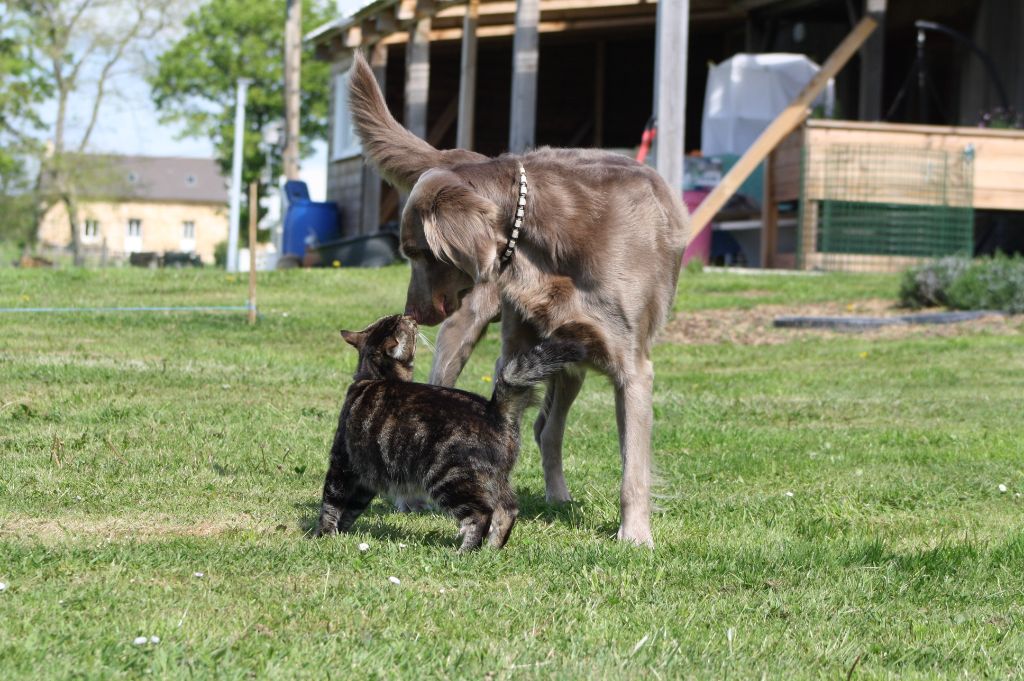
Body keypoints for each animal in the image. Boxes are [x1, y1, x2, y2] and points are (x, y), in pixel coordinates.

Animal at [311, 315, 585, 548]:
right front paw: (340, 533)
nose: (412, 317)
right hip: (494, 479)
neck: (376, 376)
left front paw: (323, 535)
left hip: (450, 479)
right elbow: (350, 508)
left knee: (481, 515)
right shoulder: (365, 476)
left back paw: (465, 552)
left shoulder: (342, 462)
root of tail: (494, 409)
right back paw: (492, 550)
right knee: (507, 510)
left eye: (404, 320)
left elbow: (331, 503)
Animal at [348, 50, 692, 544]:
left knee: (547, 429)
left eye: (416, 252)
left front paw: (635, 536)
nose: (410, 312)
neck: (551, 235)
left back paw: (558, 497)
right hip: (469, 327)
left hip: (570, 364)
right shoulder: (517, 351)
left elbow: (633, 466)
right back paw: (412, 498)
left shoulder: (631, 365)